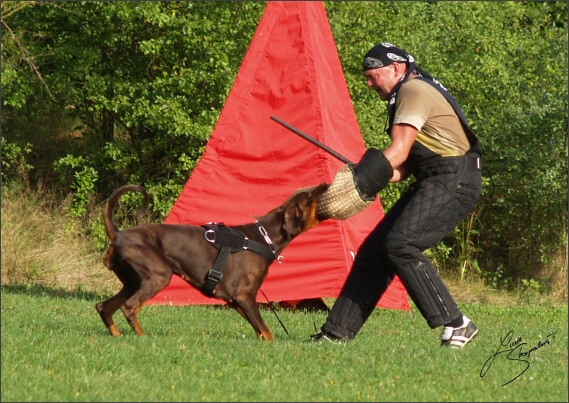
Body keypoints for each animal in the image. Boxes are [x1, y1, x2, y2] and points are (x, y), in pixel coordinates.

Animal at [96, 183, 328, 340]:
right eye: (310, 195)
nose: (324, 183)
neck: (266, 237)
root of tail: (117, 234)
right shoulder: (244, 295)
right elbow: (266, 330)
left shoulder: (235, 300)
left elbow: (261, 332)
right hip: (157, 276)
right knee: (129, 307)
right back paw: (142, 337)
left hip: (132, 281)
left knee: (103, 307)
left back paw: (117, 335)